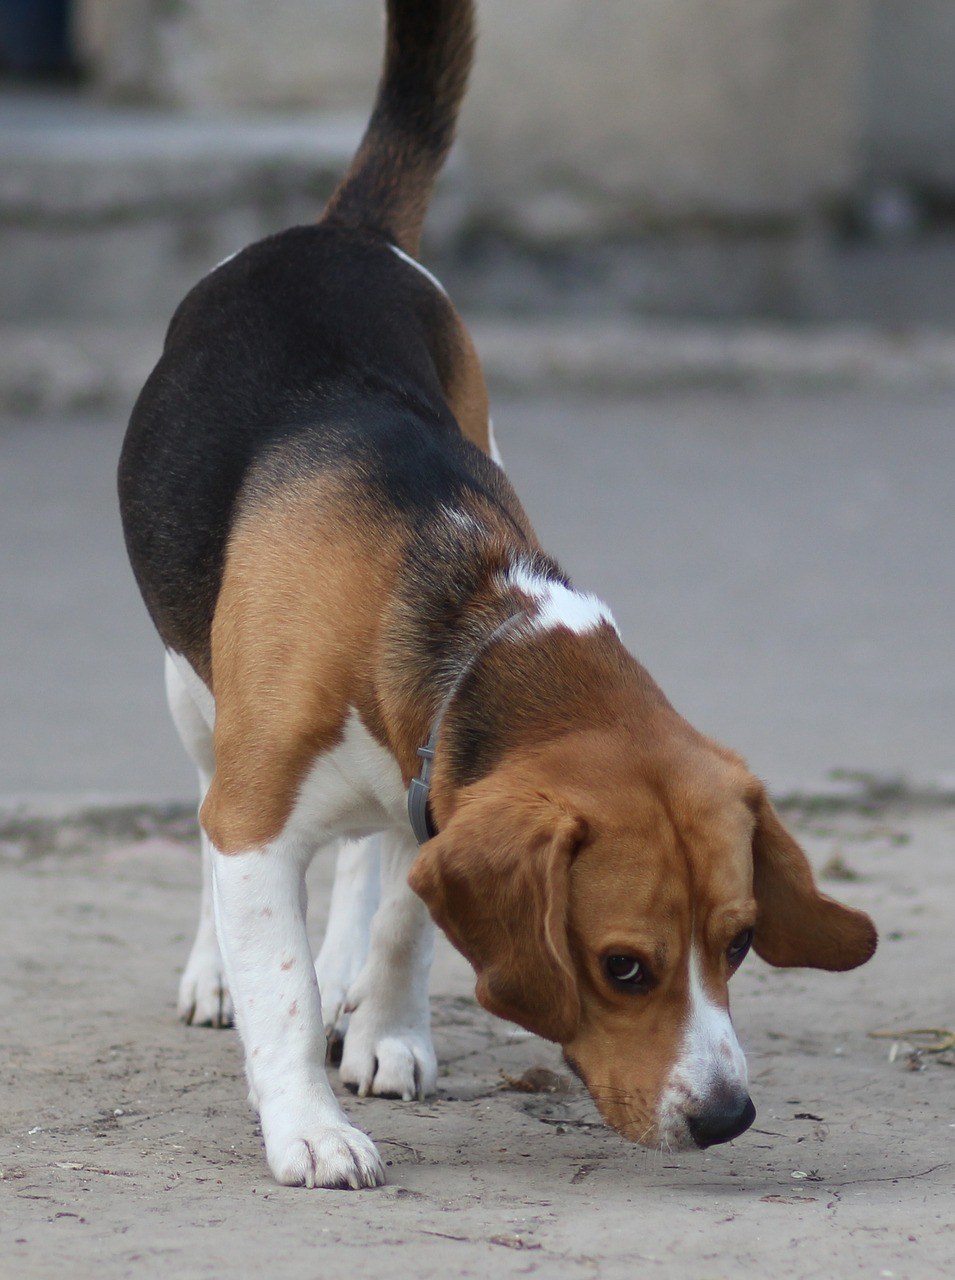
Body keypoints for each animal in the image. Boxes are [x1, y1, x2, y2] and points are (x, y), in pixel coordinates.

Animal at [115, 0, 875, 1187]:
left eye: (740, 940)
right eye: (622, 967)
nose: (727, 1117)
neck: (468, 615)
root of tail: (336, 231)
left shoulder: (436, 783)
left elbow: (402, 915)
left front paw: (386, 1029)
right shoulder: (256, 811)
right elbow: (278, 984)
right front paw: (309, 1124)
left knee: (364, 866)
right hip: (191, 693)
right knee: (209, 821)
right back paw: (214, 974)